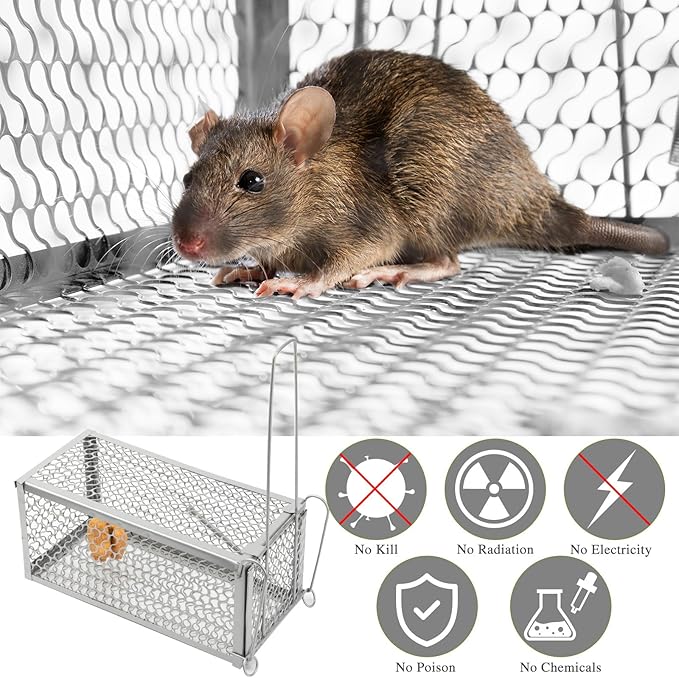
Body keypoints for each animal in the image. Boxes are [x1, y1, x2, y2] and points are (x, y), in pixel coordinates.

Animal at [171, 49, 669, 299]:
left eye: (252, 181)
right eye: (187, 179)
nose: (186, 244)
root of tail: (531, 199)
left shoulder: (365, 219)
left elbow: (358, 252)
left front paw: (302, 280)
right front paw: (251, 269)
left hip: (430, 192)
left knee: (449, 260)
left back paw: (396, 272)